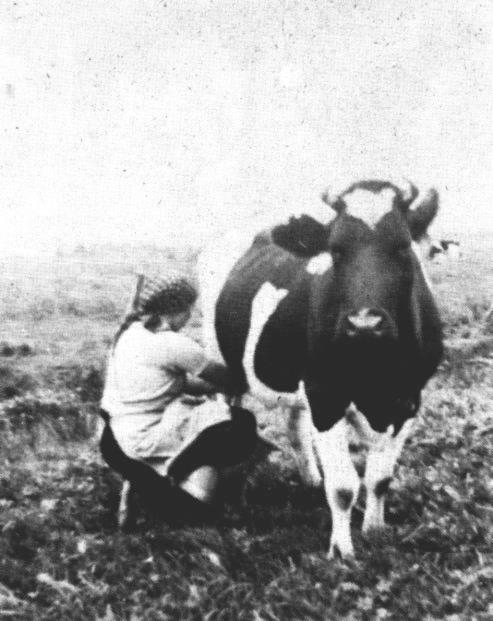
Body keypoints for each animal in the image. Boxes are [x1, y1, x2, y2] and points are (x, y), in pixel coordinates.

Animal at [198, 178, 444, 556]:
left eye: (402, 247)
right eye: (336, 251)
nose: (364, 323)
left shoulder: (409, 399)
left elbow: (380, 479)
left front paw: (375, 530)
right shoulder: (326, 395)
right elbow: (343, 487)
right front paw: (341, 551)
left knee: (295, 425)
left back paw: (311, 479)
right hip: (221, 367)